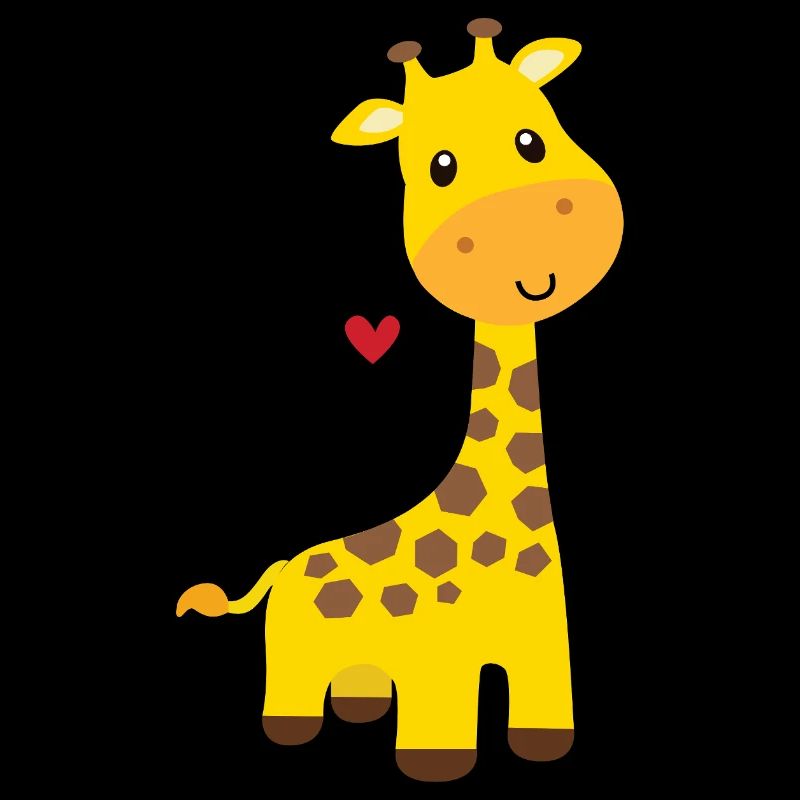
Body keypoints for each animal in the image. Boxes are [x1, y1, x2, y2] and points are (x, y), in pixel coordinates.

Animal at [176, 19, 623, 782]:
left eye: (533, 138)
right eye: (439, 167)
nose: (535, 255)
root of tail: (282, 569)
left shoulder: (544, 647)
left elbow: (544, 712)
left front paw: (541, 751)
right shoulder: (438, 663)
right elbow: (438, 727)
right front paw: (435, 766)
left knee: (356, 684)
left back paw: (362, 710)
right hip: (293, 658)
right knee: (289, 696)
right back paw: (293, 732)